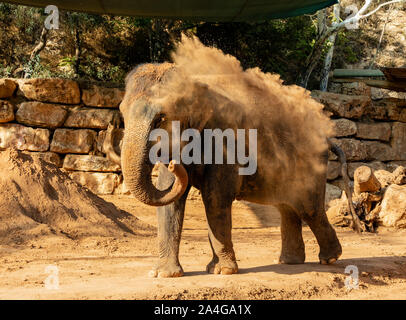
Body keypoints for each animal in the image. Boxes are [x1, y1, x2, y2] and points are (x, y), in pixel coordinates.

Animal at [104, 62, 356, 278]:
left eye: (161, 118)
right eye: (122, 112)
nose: (111, 125)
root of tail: (327, 137)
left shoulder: (225, 141)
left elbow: (215, 197)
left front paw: (222, 271)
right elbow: (169, 201)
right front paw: (163, 274)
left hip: (311, 166)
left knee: (308, 208)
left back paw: (330, 259)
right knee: (287, 207)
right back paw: (289, 262)